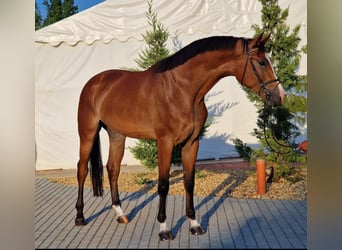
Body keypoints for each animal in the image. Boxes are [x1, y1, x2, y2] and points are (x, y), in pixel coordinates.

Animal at [75, 33, 286, 240]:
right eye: (262, 63)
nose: (280, 97)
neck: (181, 90)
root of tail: (94, 82)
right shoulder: (165, 142)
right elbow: (163, 185)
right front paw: (164, 229)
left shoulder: (191, 143)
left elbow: (189, 182)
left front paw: (194, 224)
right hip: (87, 134)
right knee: (82, 170)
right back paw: (80, 217)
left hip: (117, 135)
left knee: (113, 169)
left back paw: (120, 214)